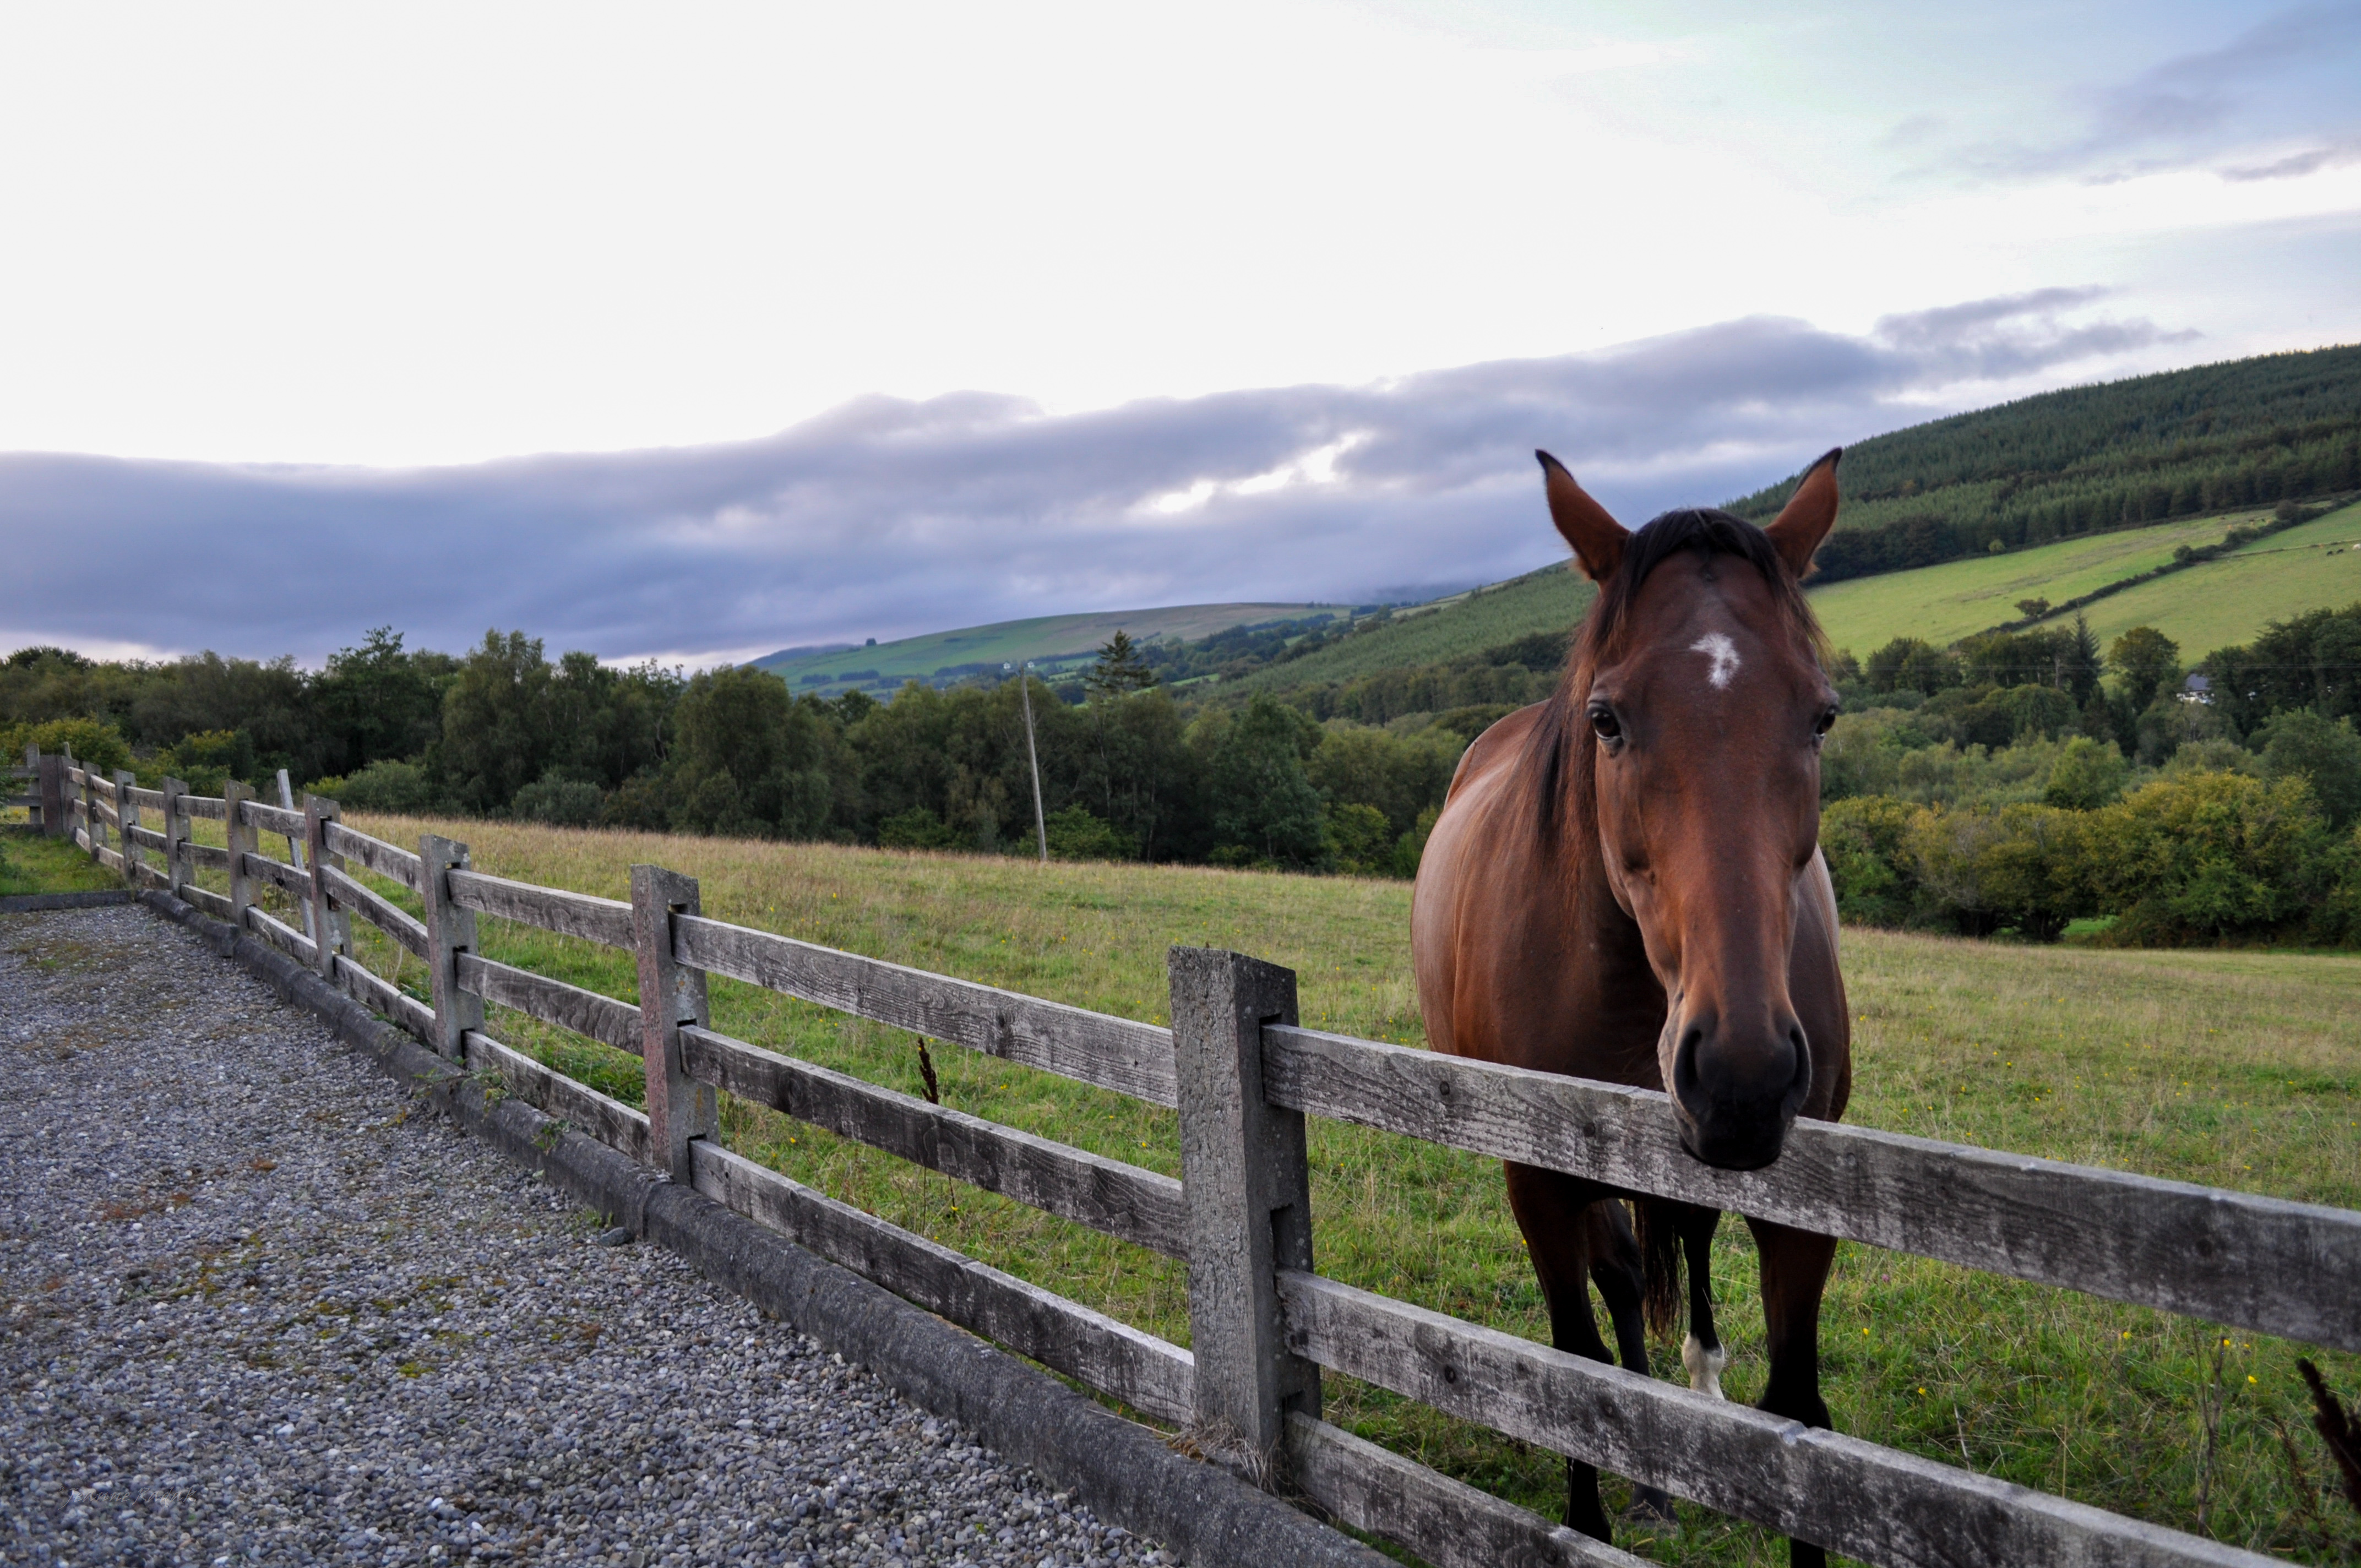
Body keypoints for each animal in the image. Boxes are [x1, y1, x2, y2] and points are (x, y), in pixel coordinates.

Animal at [1410, 449, 1853, 1564]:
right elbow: (1573, 1362)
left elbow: (1801, 1414)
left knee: (1679, 1241)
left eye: (1821, 715)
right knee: (1617, 1277)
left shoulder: (1805, 1201)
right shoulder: (1536, 1178)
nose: (1743, 1072)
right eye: (1606, 719)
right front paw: (1591, 1514)